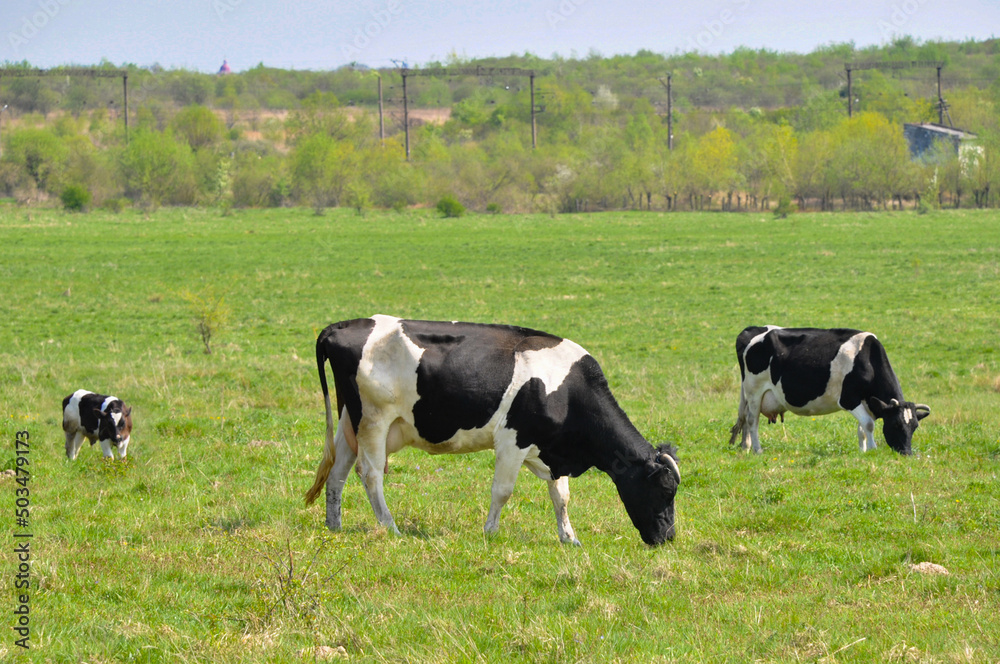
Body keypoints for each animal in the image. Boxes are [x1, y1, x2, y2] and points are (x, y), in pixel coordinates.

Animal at [304, 316, 680, 544]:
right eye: (664, 490)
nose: (667, 537)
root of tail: (342, 326)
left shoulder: (550, 447)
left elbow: (561, 497)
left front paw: (569, 537)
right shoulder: (513, 440)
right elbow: (502, 491)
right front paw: (490, 531)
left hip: (349, 421)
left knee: (337, 473)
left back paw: (334, 526)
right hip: (374, 420)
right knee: (369, 474)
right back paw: (391, 526)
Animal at [728, 326, 928, 456]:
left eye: (915, 426)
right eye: (895, 424)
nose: (907, 453)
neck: (867, 360)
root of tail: (752, 331)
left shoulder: (867, 402)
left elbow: (862, 428)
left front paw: (862, 451)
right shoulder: (849, 398)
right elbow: (869, 424)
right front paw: (872, 449)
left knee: (746, 419)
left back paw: (745, 447)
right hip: (754, 391)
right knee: (752, 420)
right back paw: (757, 449)